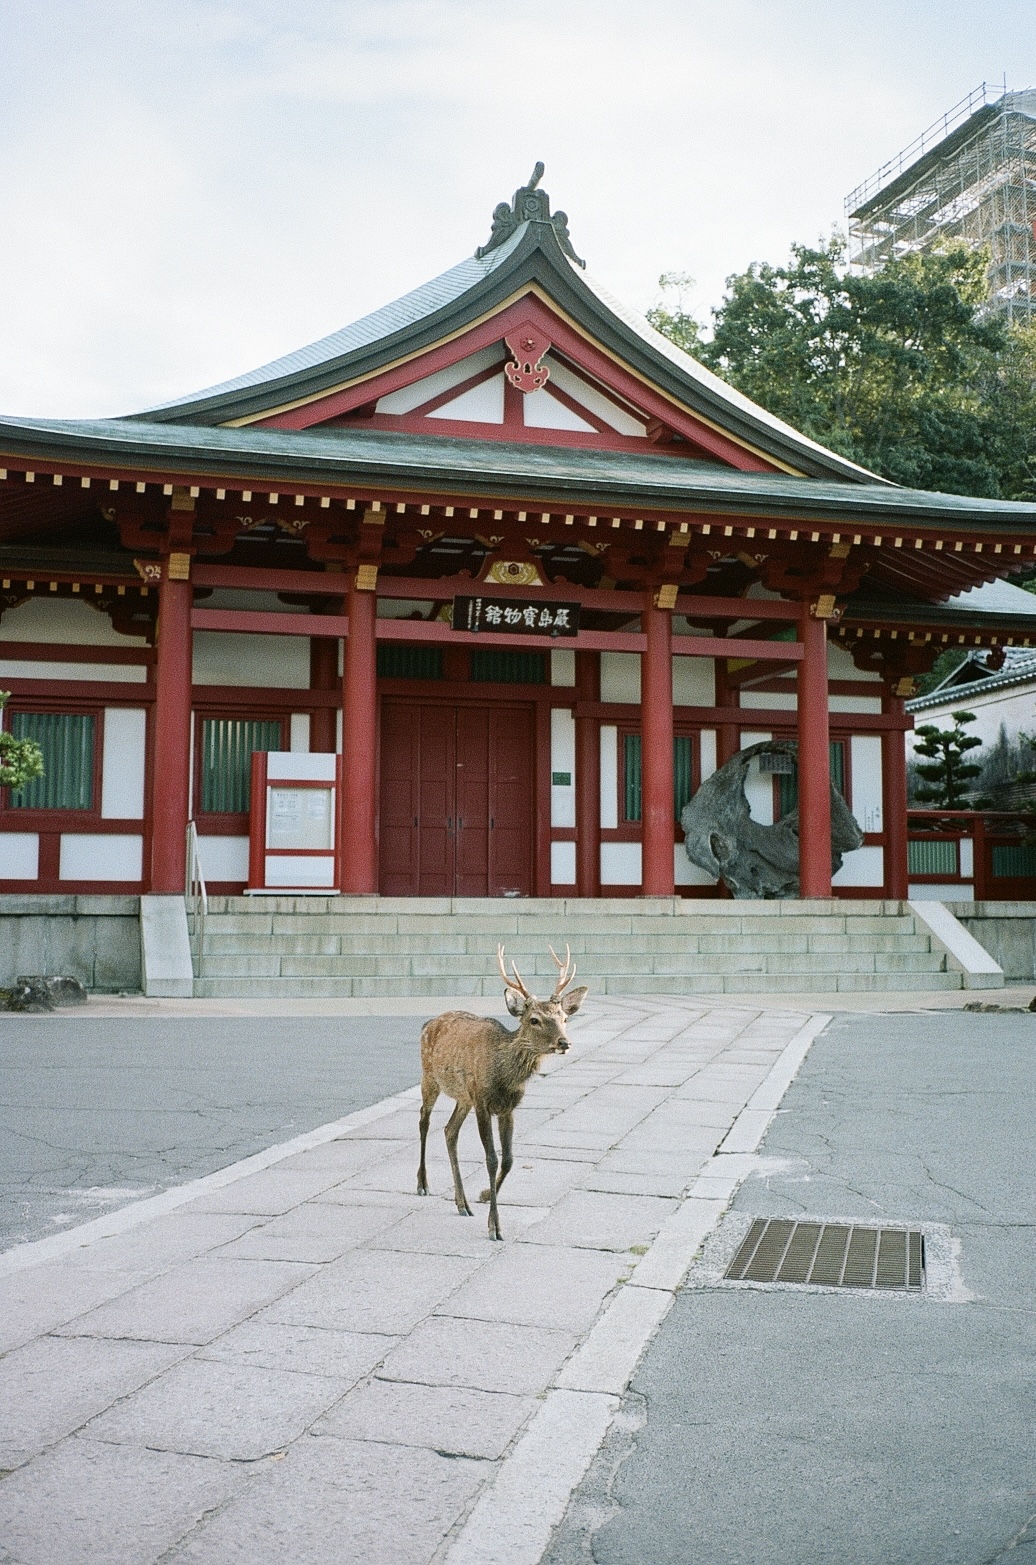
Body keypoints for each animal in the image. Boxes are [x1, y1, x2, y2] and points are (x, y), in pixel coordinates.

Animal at [419, 945, 588, 1239]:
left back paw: (462, 1203)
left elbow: (509, 1159)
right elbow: (491, 1159)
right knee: (424, 1120)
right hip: (430, 1076)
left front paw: (485, 1194)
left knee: (450, 1130)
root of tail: (428, 1023)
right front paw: (494, 1227)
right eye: (534, 1020)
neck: (503, 1076)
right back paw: (422, 1184)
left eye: (565, 1018)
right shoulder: (483, 1102)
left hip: (463, 1097)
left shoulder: (507, 1108)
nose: (564, 1042)